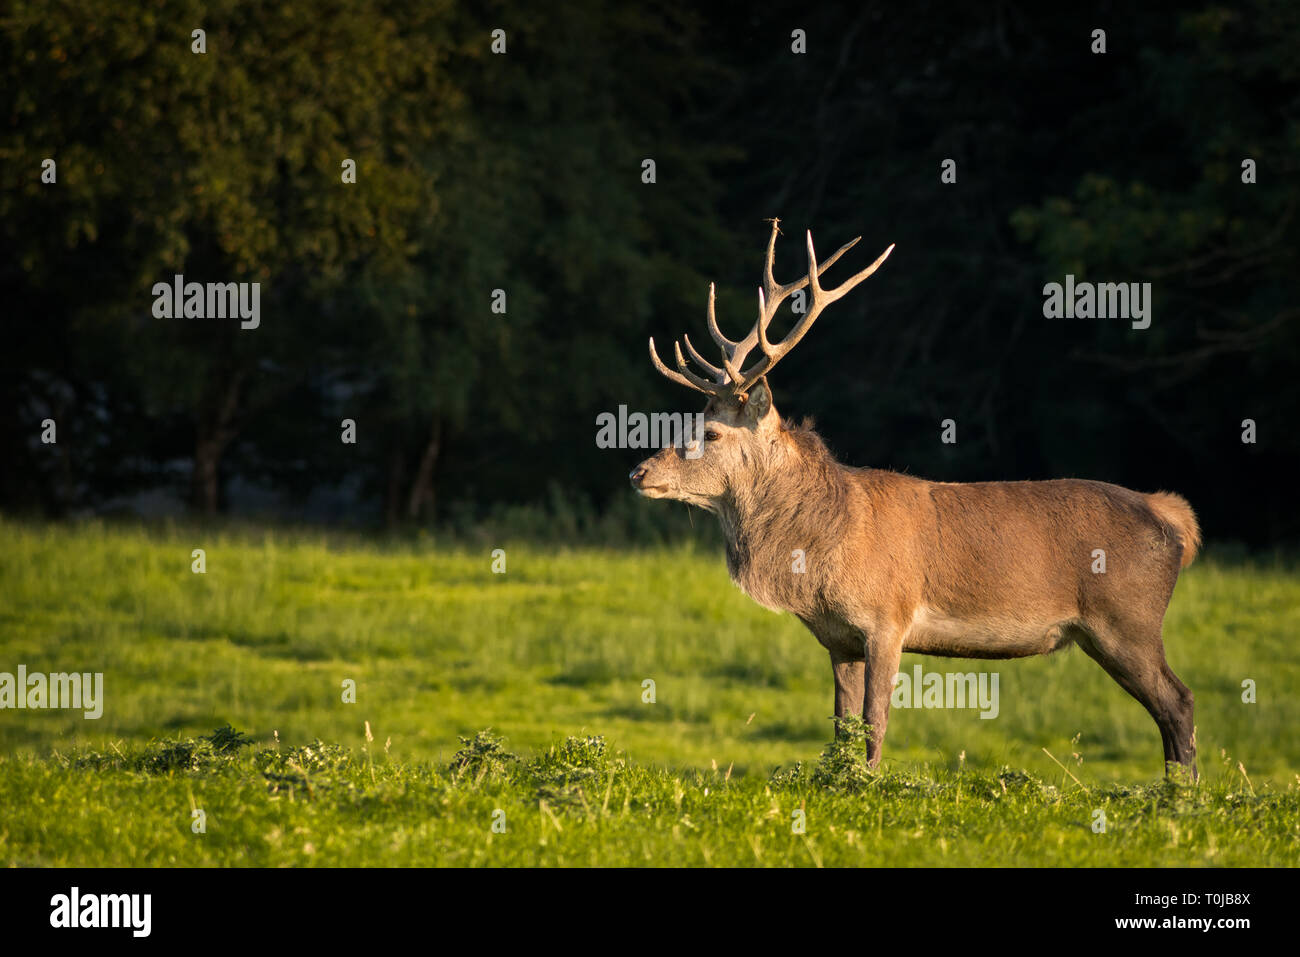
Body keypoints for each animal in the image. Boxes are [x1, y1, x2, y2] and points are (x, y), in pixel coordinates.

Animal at [629, 222, 1196, 780]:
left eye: (711, 432)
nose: (638, 472)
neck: (821, 551)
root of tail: (1176, 520)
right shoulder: (839, 638)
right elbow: (841, 727)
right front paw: (841, 781)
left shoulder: (888, 616)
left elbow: (874, 722)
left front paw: (871, 785)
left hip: (1128, 619)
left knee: (1179, 701)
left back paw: (1180, 794)